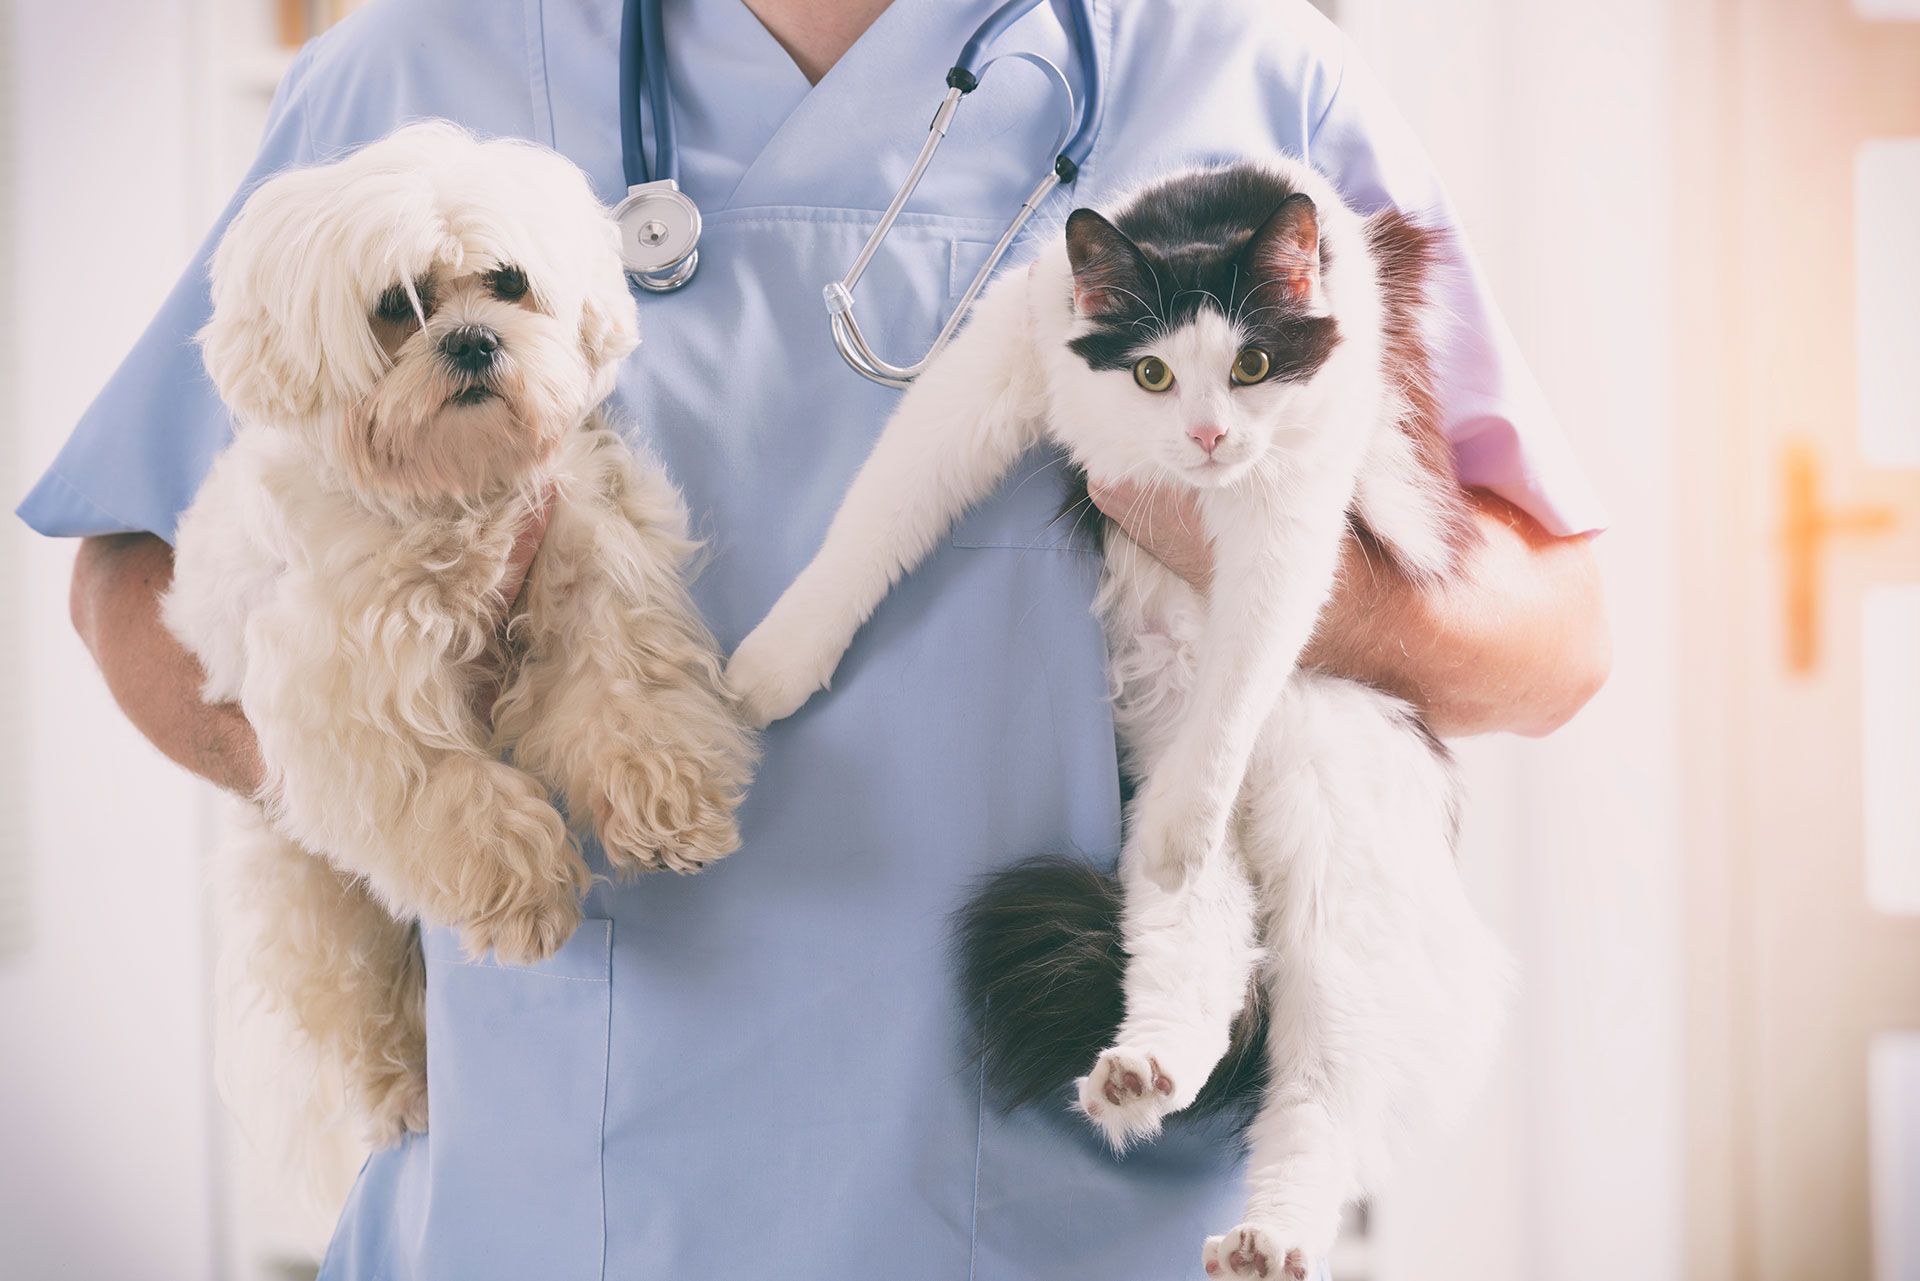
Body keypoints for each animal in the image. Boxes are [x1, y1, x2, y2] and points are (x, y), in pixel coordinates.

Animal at [168, 120, 756, 1144]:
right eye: (395, 308)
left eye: (508, 282)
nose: (474, 340)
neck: (456, 495)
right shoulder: (358, 697)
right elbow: (456, 795)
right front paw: (524, 894)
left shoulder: (590, 570)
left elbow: (627, 701)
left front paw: (666, 804)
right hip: (311, 896)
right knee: (354, 995)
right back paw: (400, 1082)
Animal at [725, 163, 1505, 1281]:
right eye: (1151, 373)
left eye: (1252, 364)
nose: (1210, 437)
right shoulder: (997, 366)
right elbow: (873, 521)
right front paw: (774, 668)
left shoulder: (1292, 506)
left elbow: (1245, 661)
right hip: (1184, 866)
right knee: (1201, 962)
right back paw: (1140, 1075)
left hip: (1344, 903)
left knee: (1320, 1102)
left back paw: (1270, 1236)